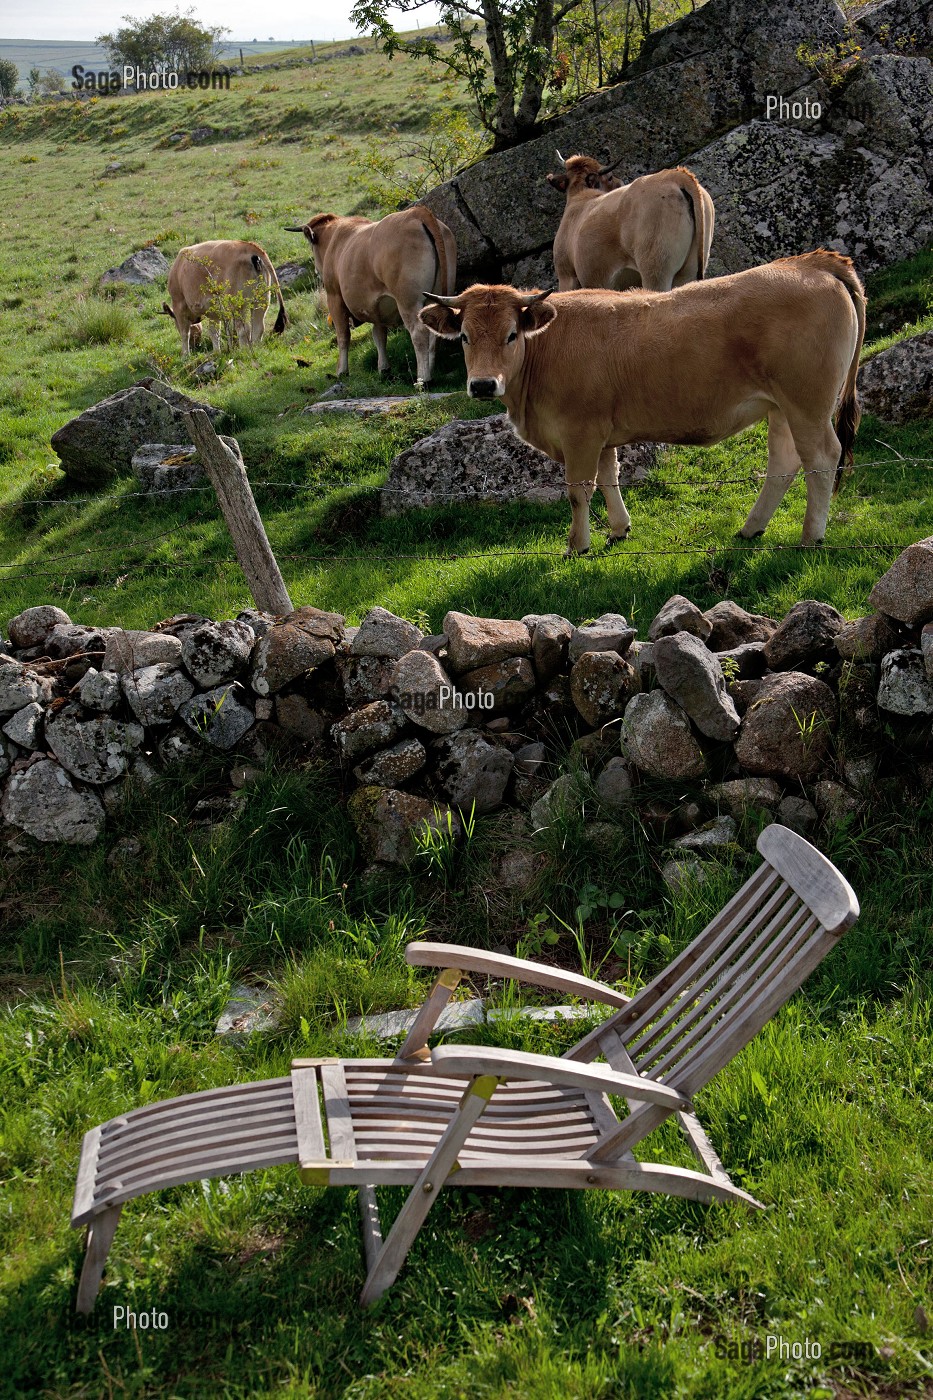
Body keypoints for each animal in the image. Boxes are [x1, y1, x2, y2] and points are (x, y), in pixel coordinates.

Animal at [285, 205, 456, 383]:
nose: (317, 271)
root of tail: (416, 213)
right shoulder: (376, 305)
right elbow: (379, 335)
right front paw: (384, 368)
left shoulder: (334, 297)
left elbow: (343, 335)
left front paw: (342, 371)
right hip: (436, 295)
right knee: (433, 331)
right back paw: (430, 370)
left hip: (408, 300)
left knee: (419, 333)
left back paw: (423, 379)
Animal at [546, 151, 711, 294]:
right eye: (610, 177)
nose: (620, 182)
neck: (579, 196)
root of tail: (674, 175)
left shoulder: (566, 276)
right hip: (688, 271)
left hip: (656, 270)